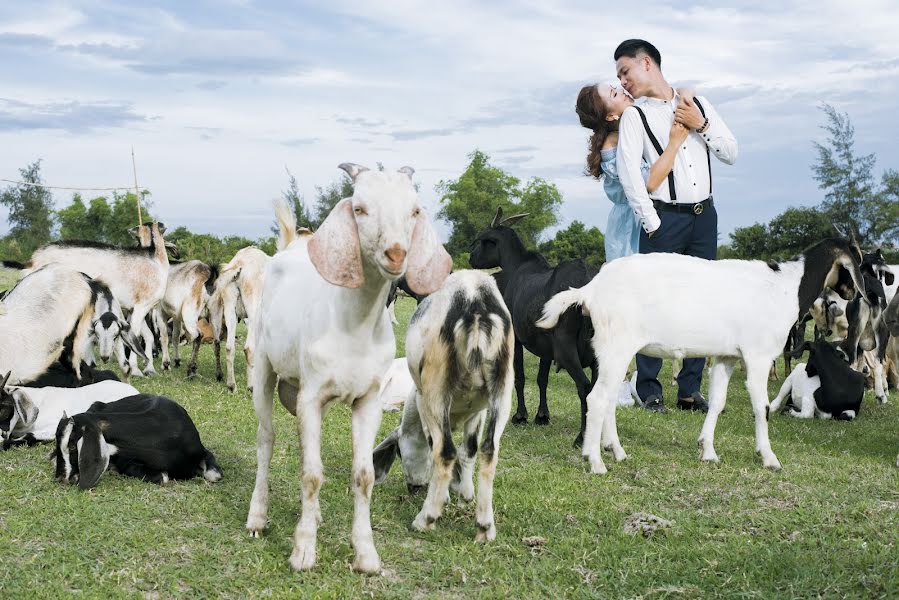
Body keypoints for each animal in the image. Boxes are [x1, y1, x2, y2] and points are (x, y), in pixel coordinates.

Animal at [52, 394, 223, 488]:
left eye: (72, 446)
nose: (60, 477)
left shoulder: (203, 452)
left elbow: (215, 475)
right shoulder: (127, 461)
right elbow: (163, 476)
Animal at [246, 163, 454, 572]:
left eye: (414, 210)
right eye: (359, 208)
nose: (396, 253)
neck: (353, 325)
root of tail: (290, 247)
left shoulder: (368, 399)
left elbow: (363, 475)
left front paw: (366, 553)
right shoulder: (312, 395)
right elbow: (312, 474)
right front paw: (303, 550)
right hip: (263, 366)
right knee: (266, 439)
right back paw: (257, 516)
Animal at [372, 270, 512, 540]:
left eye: (399, 452)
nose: (414, 488)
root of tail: (475, 299)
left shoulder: (423, 402)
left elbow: (436, 448)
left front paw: (447, 496)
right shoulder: (477, 411)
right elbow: (469, 451)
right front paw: (465, 495)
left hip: (436, 390)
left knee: (445, 452)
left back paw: (426, 518)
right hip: (502, 390)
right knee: (489, 451)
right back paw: (485, 527)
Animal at [472, 206, 596, 446]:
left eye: (481, 239)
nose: (471, 258)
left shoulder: (517, 337)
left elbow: (519, 377)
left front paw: (520, 416)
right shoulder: (545, 344)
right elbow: (542, 378)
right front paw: (542, 416)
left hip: (566, 346)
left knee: (585, 387)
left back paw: (581, 438)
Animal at [536, 237, 868, 476]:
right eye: (855, 263)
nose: (853, 295)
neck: (784, 288)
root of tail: (592, 289)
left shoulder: (726, 357)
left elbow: (718, 402)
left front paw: (708, 451)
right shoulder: (757, 355)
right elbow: (761, 406)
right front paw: (769, 457)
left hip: (611, 351)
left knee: (605, 400)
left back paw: (616, 451)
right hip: (616, 346)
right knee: (597, 398)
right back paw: (595, 461)